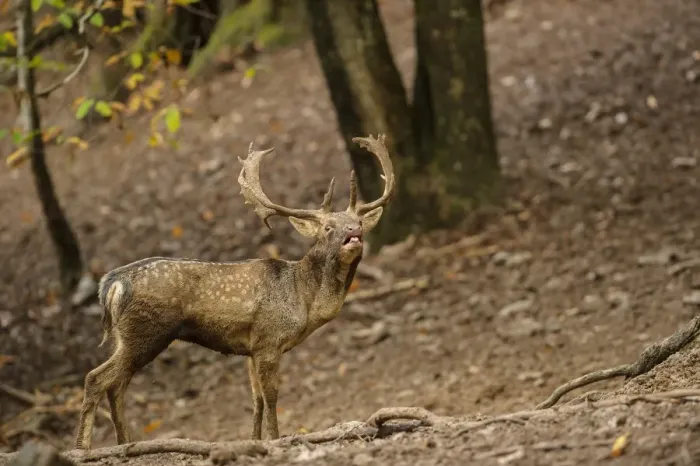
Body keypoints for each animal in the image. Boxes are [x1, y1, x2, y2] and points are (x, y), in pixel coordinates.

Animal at [73, 134, 395, 450]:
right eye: (328, 227)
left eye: (358, 222)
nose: (354, 232)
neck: (303, 299)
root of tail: (113, 283)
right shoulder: (268, 339)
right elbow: (271, 396)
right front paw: (275, 439)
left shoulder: (251, 348)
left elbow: (256, 399)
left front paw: (253, 441)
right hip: (146, 332)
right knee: (97, 378)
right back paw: (83, 447)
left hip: (125, 337)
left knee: (116, 384)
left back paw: (124, 444)